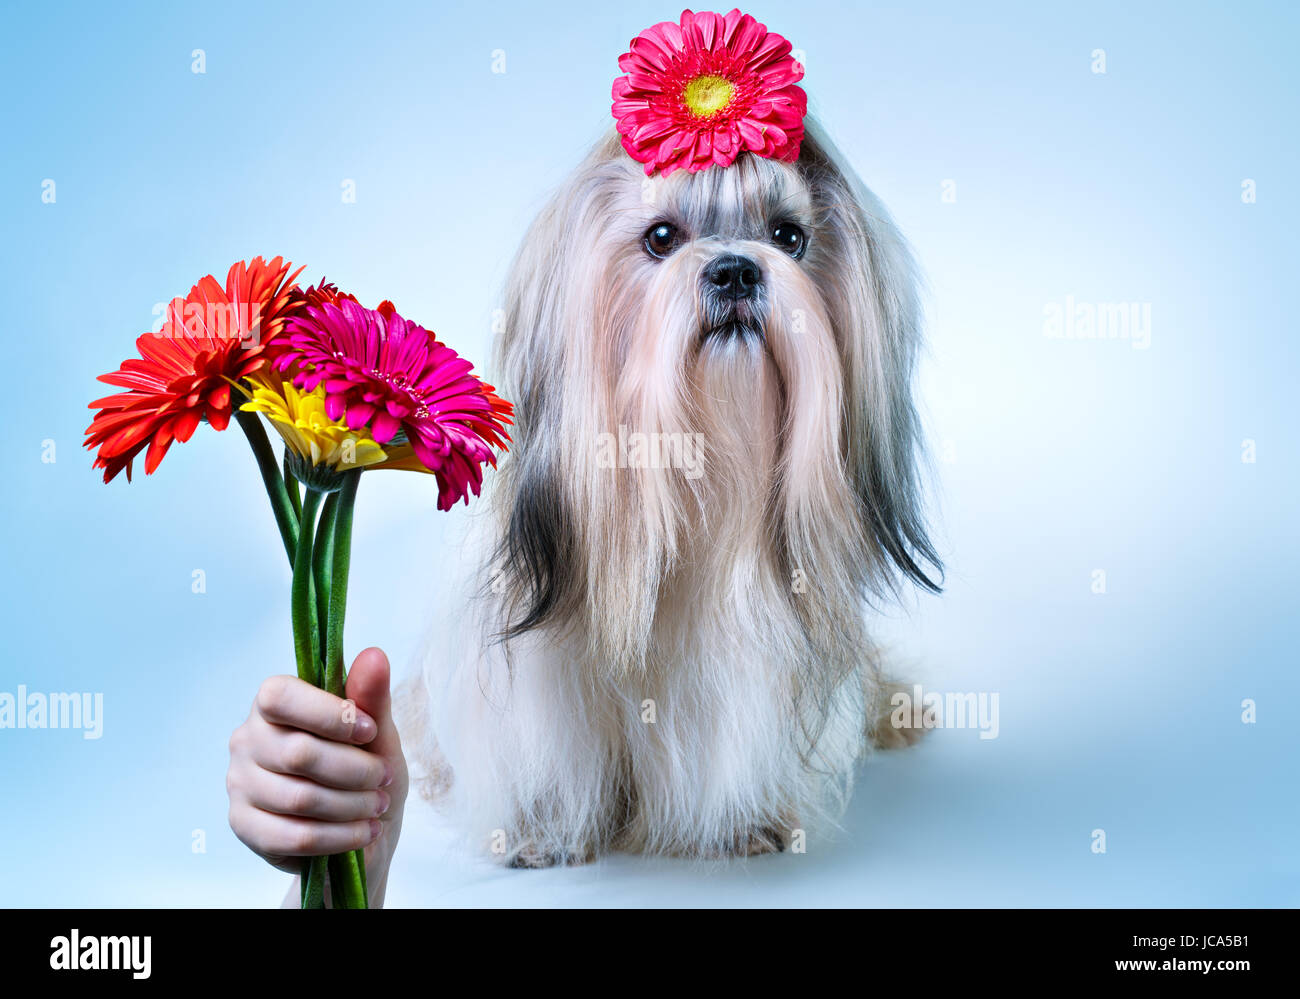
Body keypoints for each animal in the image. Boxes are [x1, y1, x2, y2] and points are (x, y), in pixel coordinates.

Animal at [400, 9, 941, 863]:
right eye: (661, 237)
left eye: (788, 236)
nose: (735, 269)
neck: (699, 483)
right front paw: (541, 830)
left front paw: (747, 820)